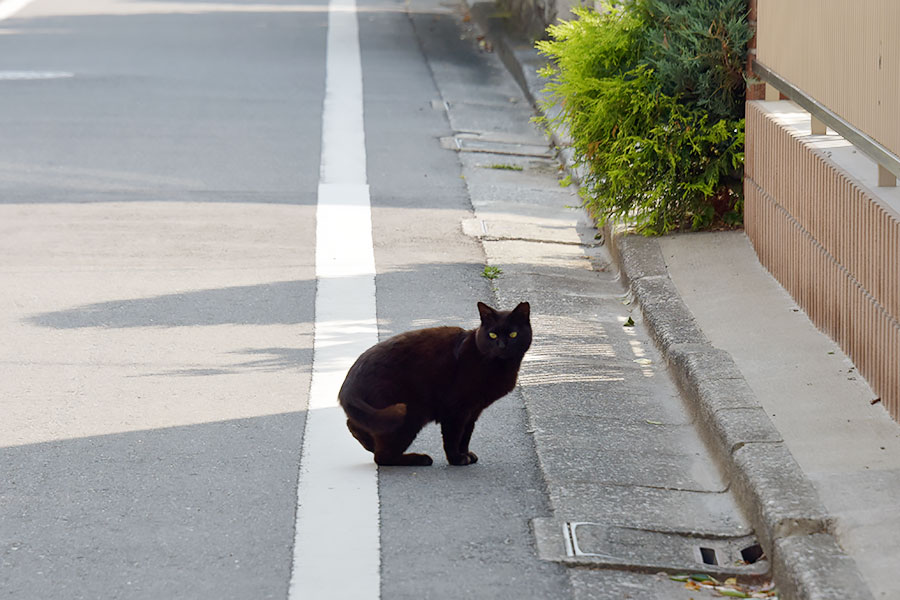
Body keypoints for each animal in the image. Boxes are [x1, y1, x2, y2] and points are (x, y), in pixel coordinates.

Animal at [342, 302, 532, 466]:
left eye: (513, 335)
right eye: (492, 335)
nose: (502, 346)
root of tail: (348, 384)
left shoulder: (473, 410)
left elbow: (466, 435)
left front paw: (465, 454)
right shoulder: (456, 409)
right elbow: (453, 436)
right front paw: (456, 459)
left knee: (355, 425)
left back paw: (369, 444)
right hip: (408, 416)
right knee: (382, 457)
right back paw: (419, 459)